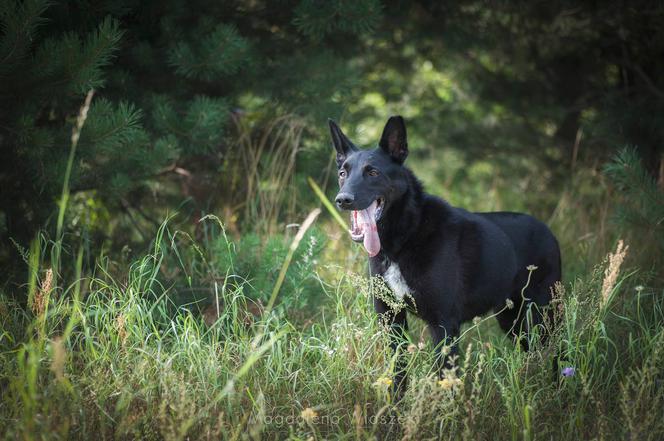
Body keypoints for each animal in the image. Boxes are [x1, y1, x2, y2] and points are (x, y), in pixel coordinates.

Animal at [328, 115, 560, 390]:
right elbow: (398, 374)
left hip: (542, 315)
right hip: (513, 320)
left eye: (372, 172)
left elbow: (444, 380)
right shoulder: (391, 319)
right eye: (343, 174)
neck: (406, 235)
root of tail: (548, 230)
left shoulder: (444, 324)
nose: (342, 199)